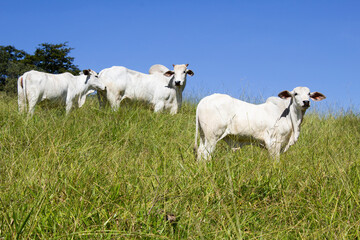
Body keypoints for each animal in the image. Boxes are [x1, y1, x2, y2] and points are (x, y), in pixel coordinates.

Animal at [194, 87, 326, 160]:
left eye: (309, 93)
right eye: (295, 93)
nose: (306, 102)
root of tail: (203, 100)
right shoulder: (273, 142)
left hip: (203, 136)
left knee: (200, 152)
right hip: (212, 136)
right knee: (206, 154)